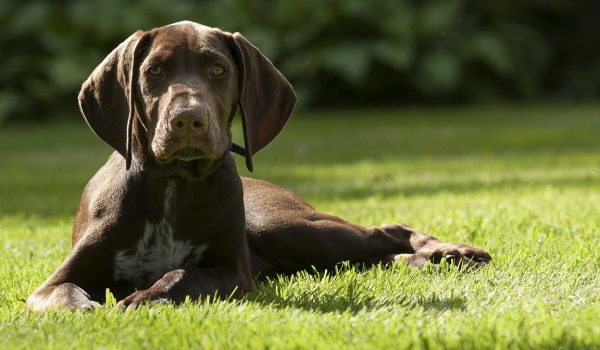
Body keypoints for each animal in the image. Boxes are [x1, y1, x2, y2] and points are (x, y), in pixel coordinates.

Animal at [25, 21, 490, 312]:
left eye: (218, 69)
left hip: (283, 227)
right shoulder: (52, 283)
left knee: (386, 231)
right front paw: (87, 308)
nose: (187, 120)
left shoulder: (232, 272)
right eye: (154, 71)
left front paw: (143, 297)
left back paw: (452, 252)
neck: (173, 184)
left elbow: (182, 275)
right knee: (374, 254)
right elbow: (64, 295)